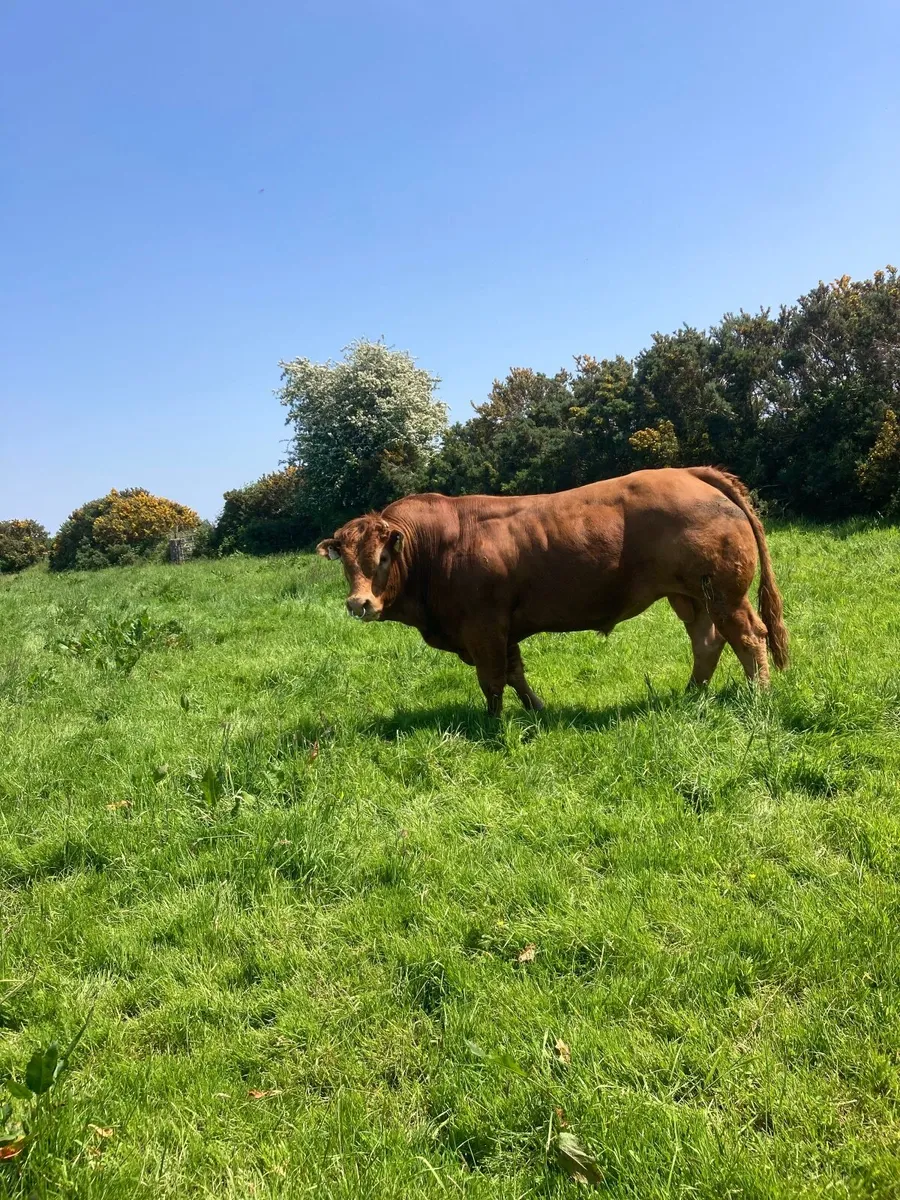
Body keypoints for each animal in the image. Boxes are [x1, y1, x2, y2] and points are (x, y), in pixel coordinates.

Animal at [316, 467, 788, 716]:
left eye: (382, 557)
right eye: (344, 561)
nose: (359, 604)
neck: (434, 548)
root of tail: (688, 472)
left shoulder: (484, 627)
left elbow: (491, 680)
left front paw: (491, 724)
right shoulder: (501, 629)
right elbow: (514, 673)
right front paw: (537, 710)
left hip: (724, 594)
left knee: (749, 638)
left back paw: (760, 698)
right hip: (691, 598)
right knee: (707, 643)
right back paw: (690, 696)